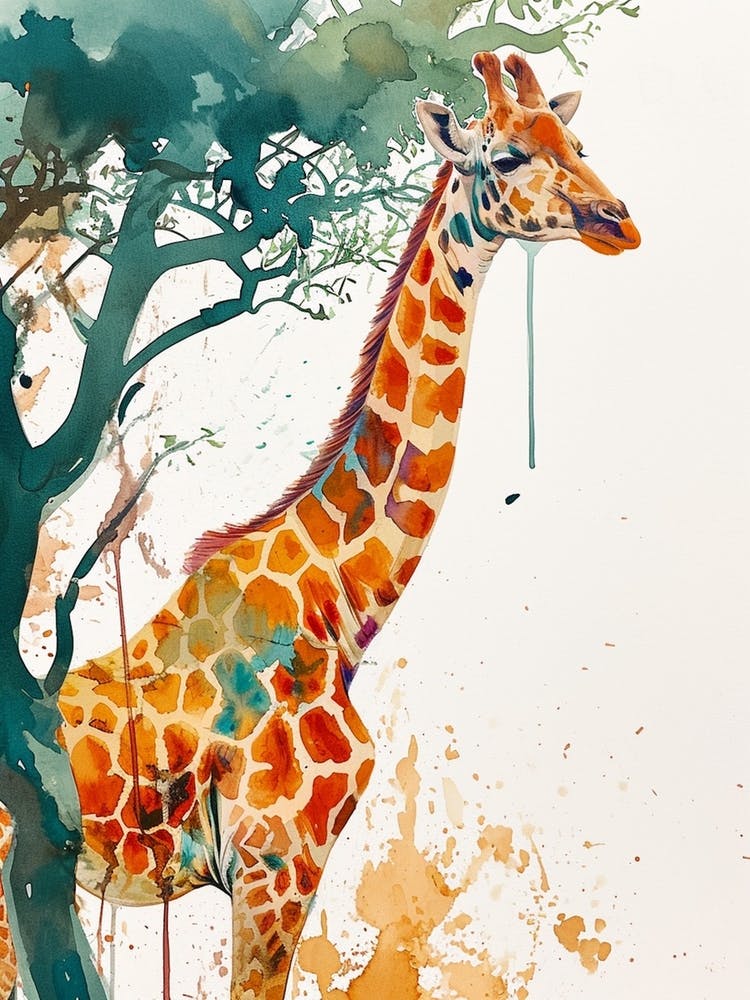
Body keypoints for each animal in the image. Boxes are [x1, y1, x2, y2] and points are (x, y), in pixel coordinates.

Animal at [0, 52, 639, 1000]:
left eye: (578, 143)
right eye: (508, 156)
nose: (617, 221)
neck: (338, 603)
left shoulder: (283, 864)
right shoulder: (275, 859)